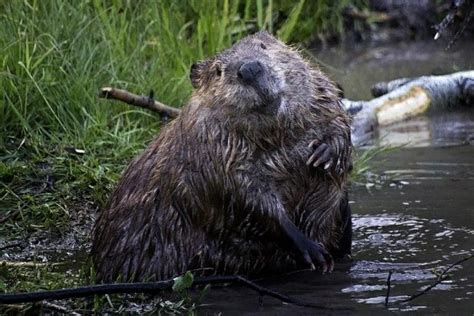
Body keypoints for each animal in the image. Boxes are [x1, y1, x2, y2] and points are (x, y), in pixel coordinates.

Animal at [92, 30, 352, 282]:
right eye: (218, 70)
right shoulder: (212, 155)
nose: (250, 69)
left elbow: (337, 121)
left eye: (263, 46)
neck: (276, 137)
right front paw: (314, 251)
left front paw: (323, 153)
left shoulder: (321, 95)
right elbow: (246, 200)